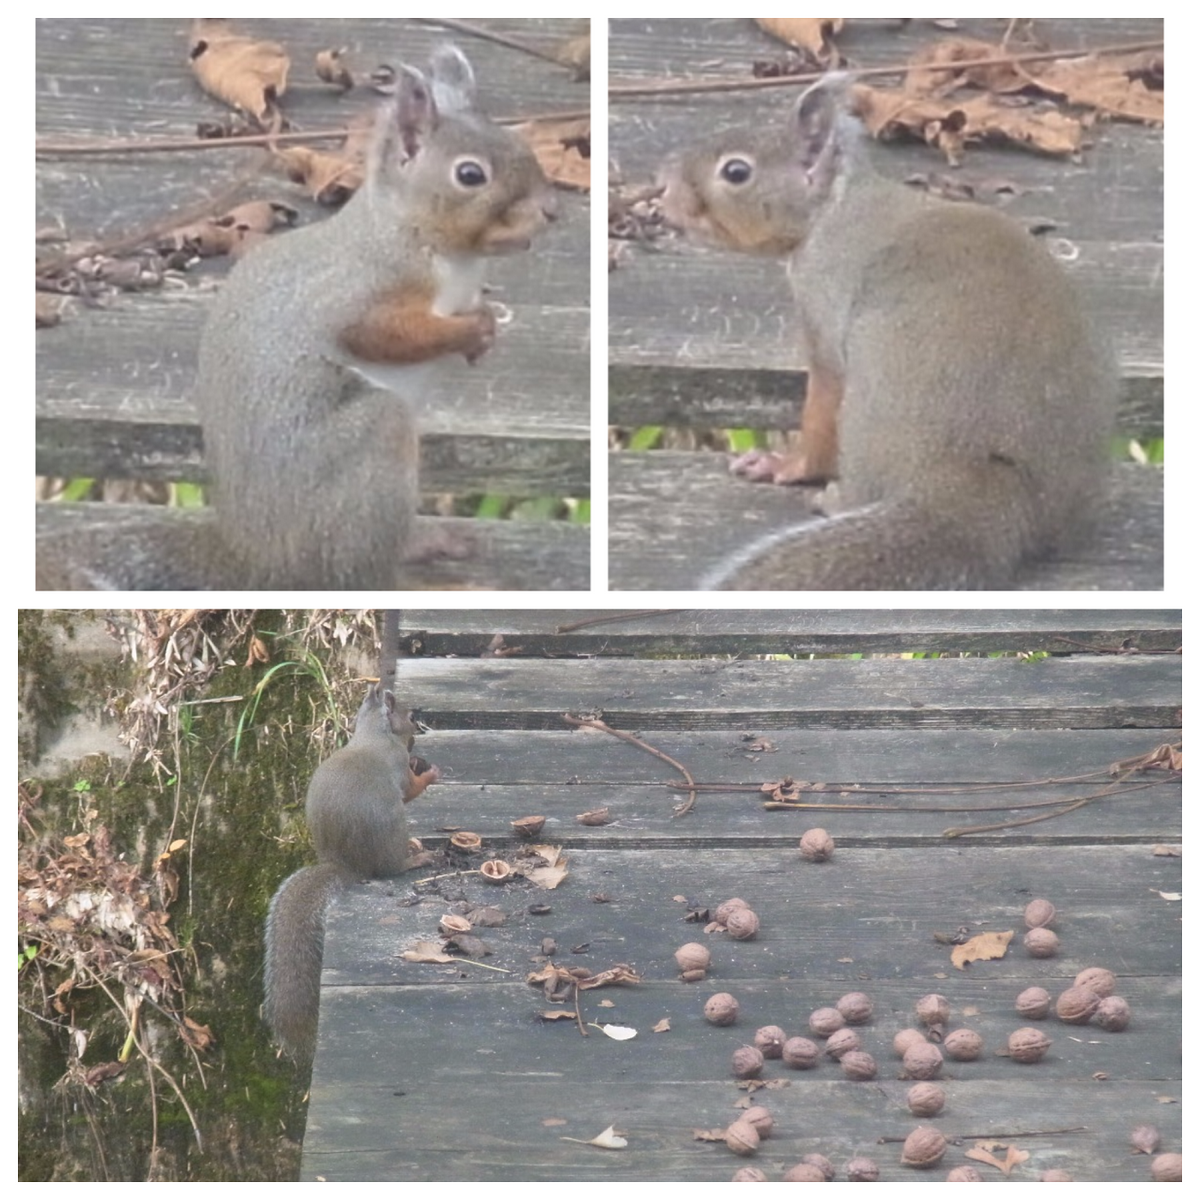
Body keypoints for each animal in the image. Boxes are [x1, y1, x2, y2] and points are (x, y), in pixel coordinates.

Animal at [39, 46, 554, 590]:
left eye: (519, 142)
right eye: (470, 175)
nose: (552, 210)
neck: (430, 244)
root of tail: (258, 564)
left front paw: (483, 328)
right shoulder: (359, 290)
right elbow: (381, 334)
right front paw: (471, 329)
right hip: (370, 458)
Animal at [262, 686, 441, 1060]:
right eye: (409, 716)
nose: (418, 730)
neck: (373, 733)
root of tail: (347, 865)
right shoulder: (397, 765)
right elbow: (411, 789)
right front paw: (430, 774)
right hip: (391, 832)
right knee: (392, 866)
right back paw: (416, 857)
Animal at [657, 72, 1113, 588]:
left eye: (736, 172)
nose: (662, 186)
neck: (834, 206)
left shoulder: (822, 302)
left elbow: (821, 404)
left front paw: (785, 465)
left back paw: (835, 498)